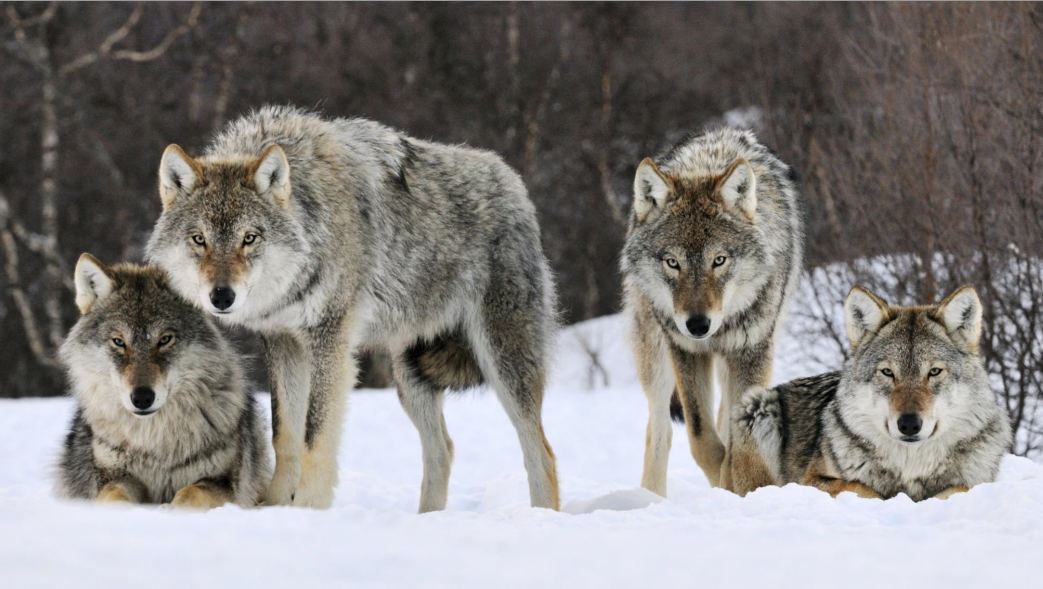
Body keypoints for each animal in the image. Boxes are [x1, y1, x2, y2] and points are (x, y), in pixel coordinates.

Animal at [55, 255, 271, 506]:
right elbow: (114, 496)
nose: (142, 397)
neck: (154, 442)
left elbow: (191, 492)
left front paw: (171, 509)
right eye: (119, 342)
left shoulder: (223, 483)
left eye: (165, 339)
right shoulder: (114, 476)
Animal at [144, 105, 563, 510]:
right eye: (199, 239)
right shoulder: (283, 343)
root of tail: (514, 182)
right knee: (442, 450)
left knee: (541, 452)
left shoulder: (330, 341)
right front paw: (276, 507)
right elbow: (285, 435)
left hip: (503, 363)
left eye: (249, 238)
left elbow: (314, 437)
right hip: (410, 377)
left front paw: (308, 510)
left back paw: (540, 517)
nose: (221, 296)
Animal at [734, 281, 1009, 498]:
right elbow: (863, 487)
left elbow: (958, 488)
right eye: (888, 372)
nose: (909, 424)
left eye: (934, 372)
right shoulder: (812, 480)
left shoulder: (977, 482)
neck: (910, 468)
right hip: (758, 406)